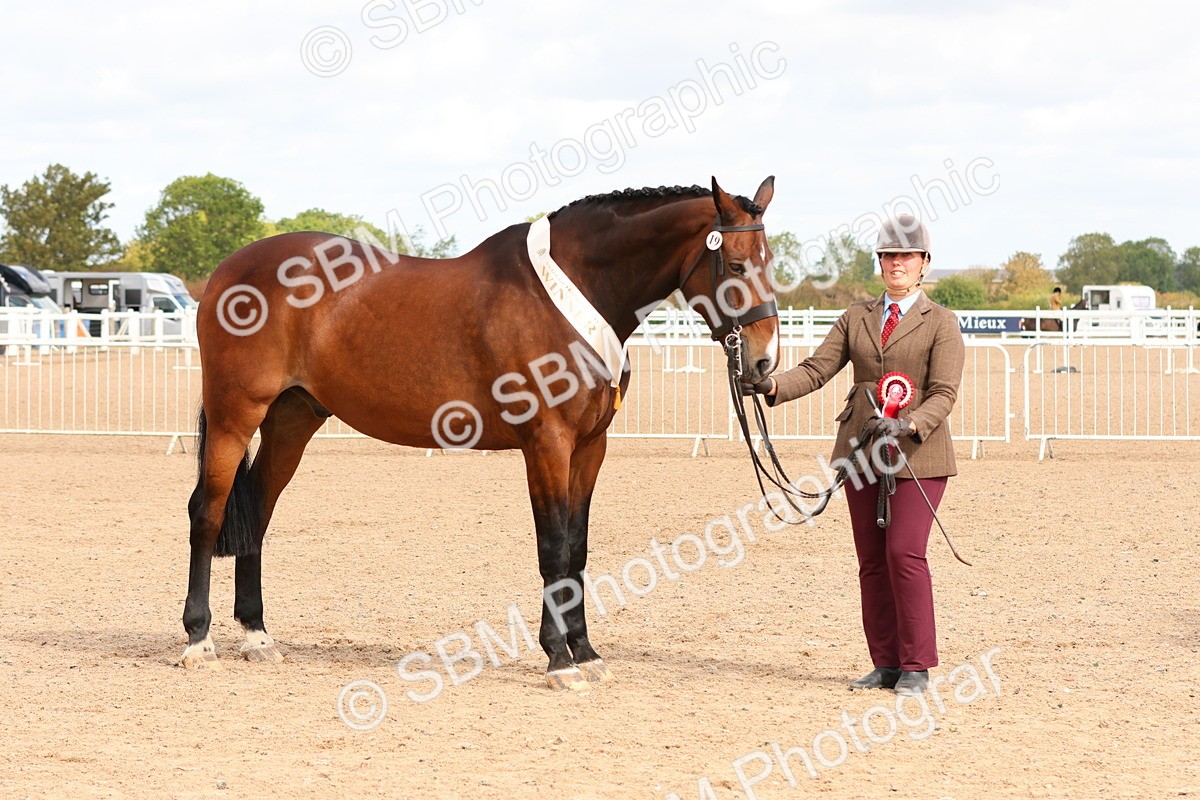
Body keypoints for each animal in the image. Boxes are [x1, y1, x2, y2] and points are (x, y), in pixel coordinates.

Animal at [181, 177, 780, 690]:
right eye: (733, 262)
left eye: (771, 263)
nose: (763, 363)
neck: (571, 294)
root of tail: (226, 271)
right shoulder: (547, 444)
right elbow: (553, 548)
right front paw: (559, 661)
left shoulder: (591, 447)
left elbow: (579, 548)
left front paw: (586, 653)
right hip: (236, 415)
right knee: (208, 512)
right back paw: (198, 641)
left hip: (292, 420)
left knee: (258, 512)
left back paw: (257, 637)